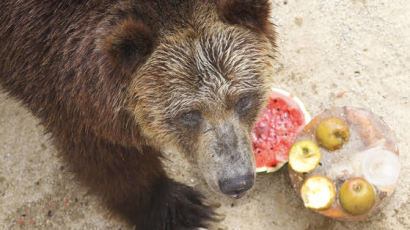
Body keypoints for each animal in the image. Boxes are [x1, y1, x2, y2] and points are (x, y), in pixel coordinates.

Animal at [0, 0, 276, 229]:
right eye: (189, 114)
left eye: (244, 99)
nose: (236, 182)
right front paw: (180, 208)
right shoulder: (58, 81)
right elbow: (109, 157)